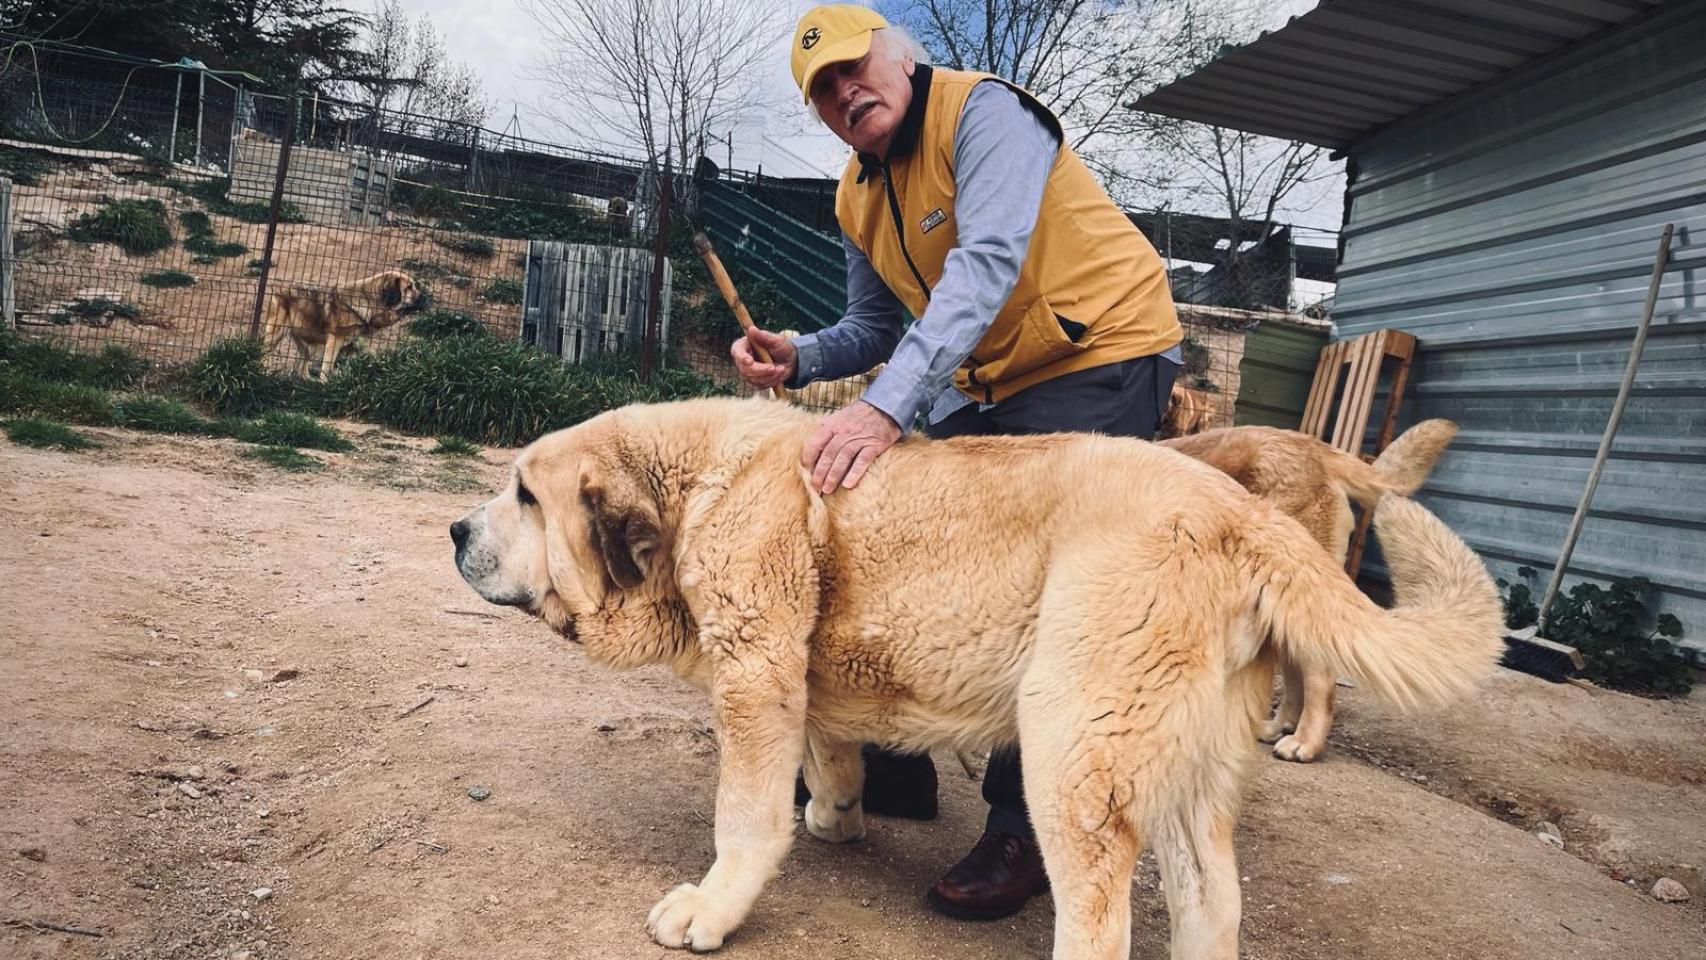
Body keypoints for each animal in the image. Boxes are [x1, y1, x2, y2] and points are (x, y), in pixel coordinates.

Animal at [267, 271, 429, 380]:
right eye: (409, 287)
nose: (426, 297)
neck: (368, 298)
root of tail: (276, 286)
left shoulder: (350, 343)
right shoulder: (334, 340)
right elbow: (327, 366)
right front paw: (325, 385)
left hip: (304, 339)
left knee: (302, 366)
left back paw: (306, 380)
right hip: (277, 333)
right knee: (266, 353)